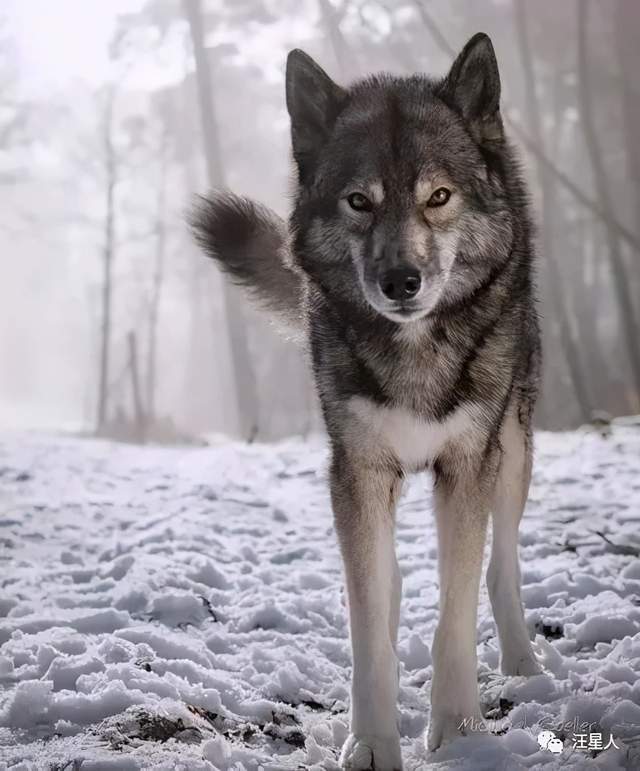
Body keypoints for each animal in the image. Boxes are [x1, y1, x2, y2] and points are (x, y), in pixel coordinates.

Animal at [190, 33, 540, 771]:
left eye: (439, 196)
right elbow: (367, 622)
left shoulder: (468, 465)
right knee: (393, 580)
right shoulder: (357, 472)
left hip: (513, 449)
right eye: (358, 201)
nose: (400, 281)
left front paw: (459, 730)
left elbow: (455, 612)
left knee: (502, 566)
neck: (413, 350)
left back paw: (525, 662)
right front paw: (374, 742)